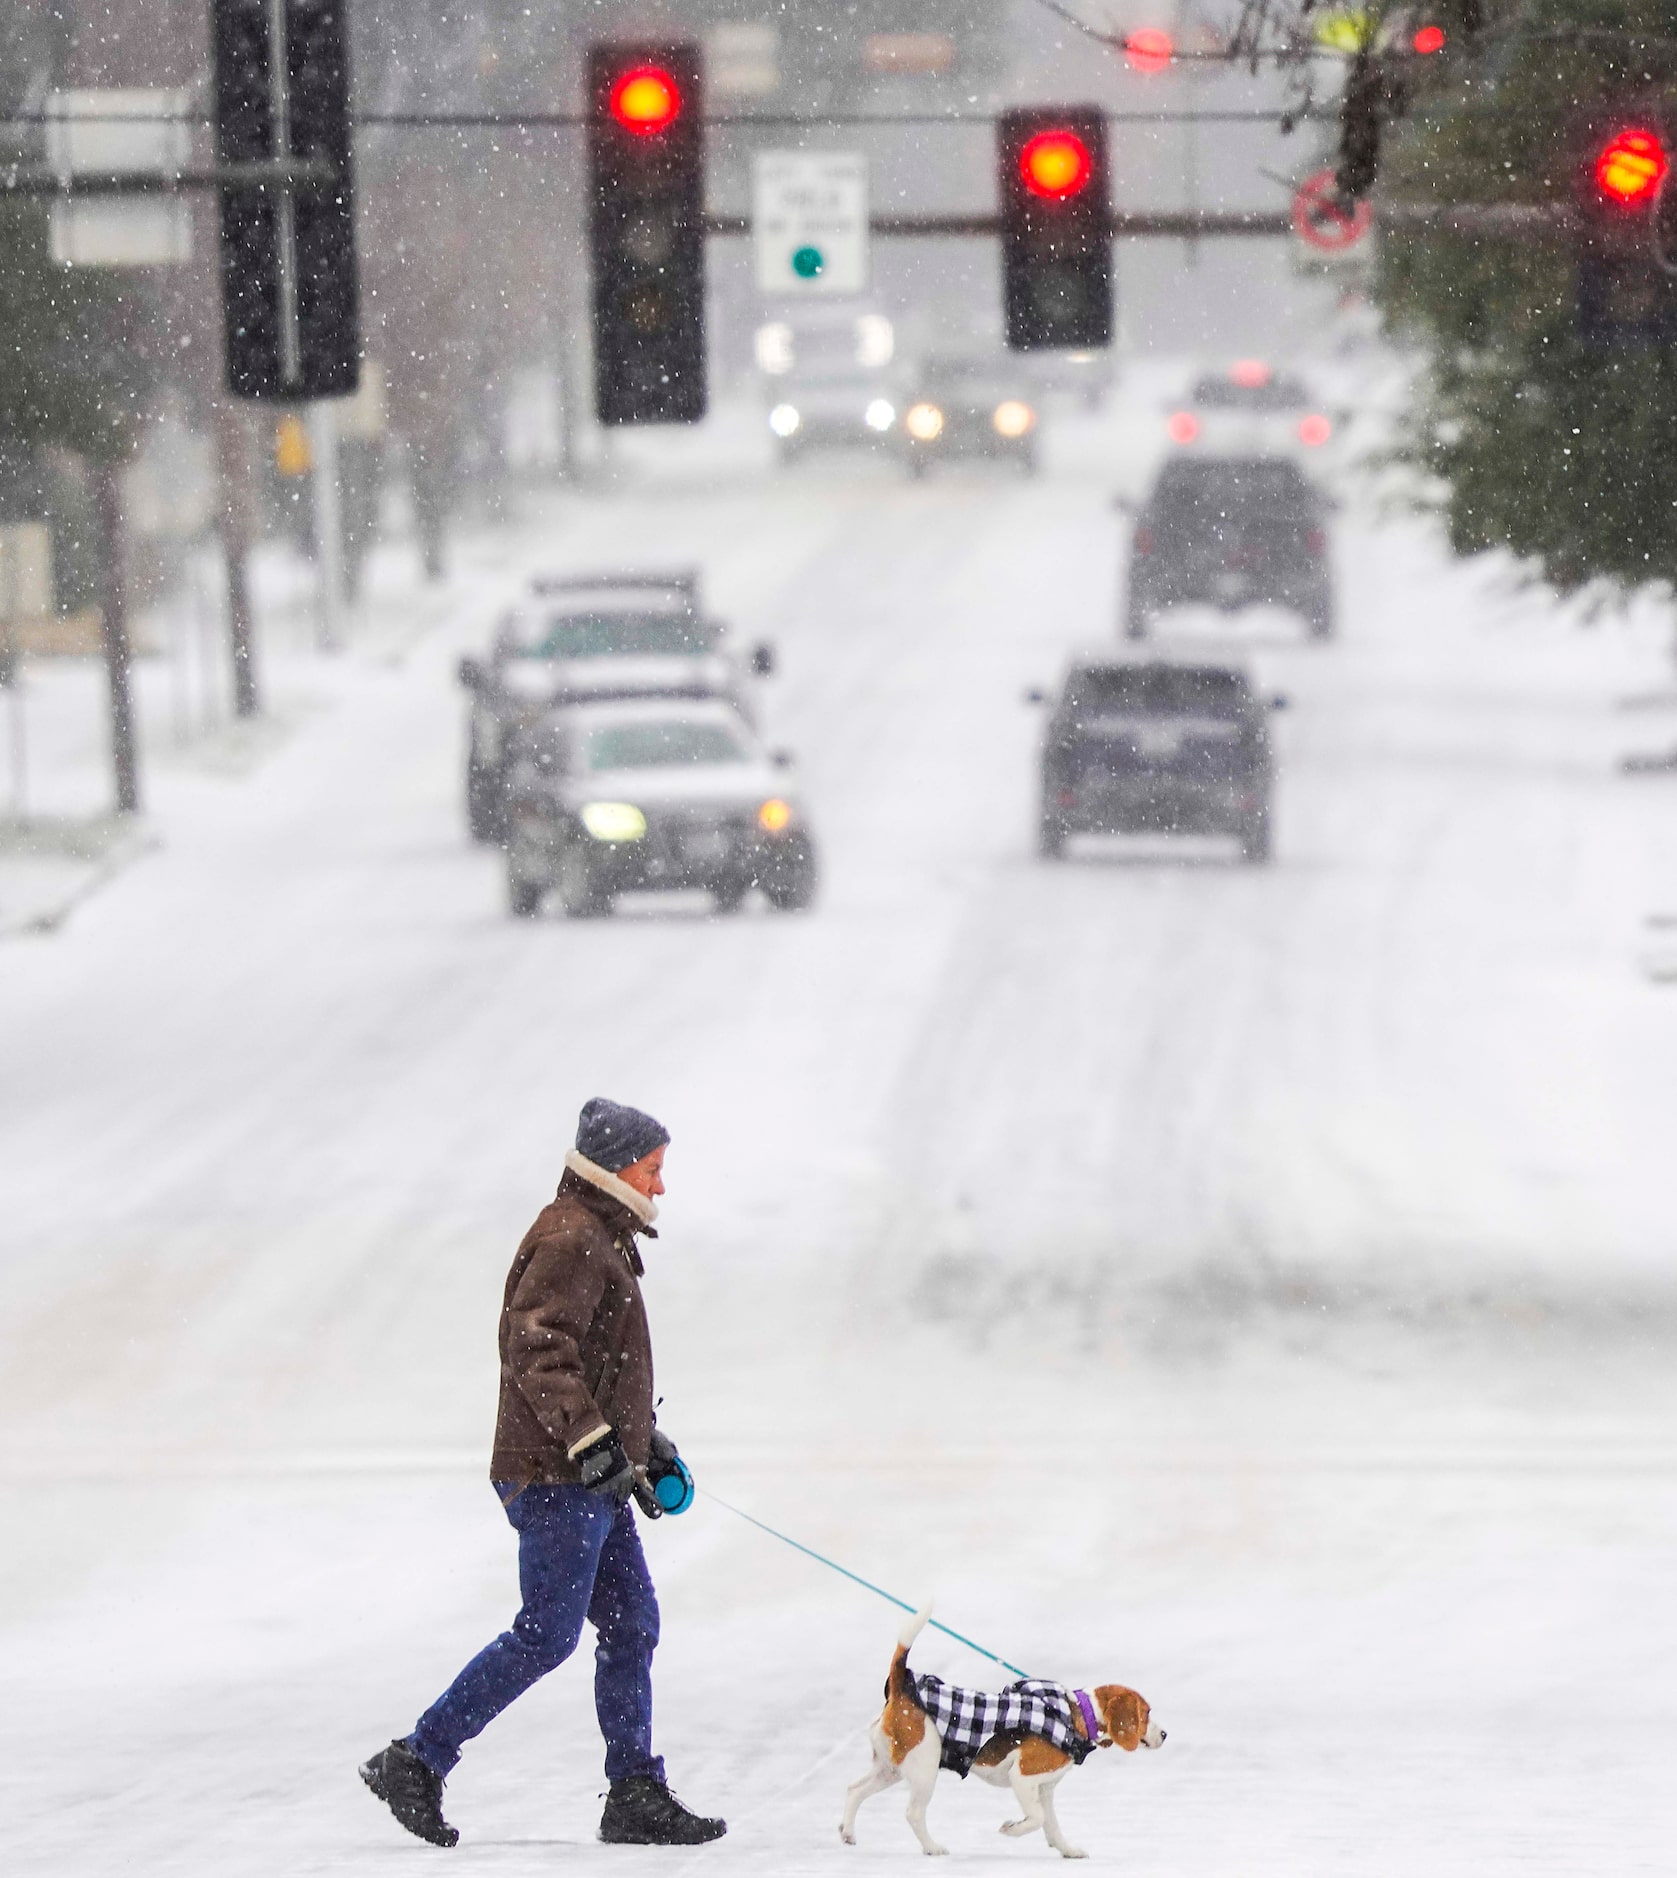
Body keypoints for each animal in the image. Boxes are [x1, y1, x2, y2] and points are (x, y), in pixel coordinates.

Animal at [837, 1607, 1164, 1855]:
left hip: (891, 1769)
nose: (1164, 1735)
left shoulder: (1044, 1789)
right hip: (924, 1770)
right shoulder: (1023, 1778)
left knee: (854, 1790)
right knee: (913, 1813)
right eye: (1146, 1712)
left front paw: (1067, 1850)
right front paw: (1011, 1829)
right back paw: (932, 1847)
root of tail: (902, 1688)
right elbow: (1036, 1819)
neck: (1078, 1714)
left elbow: (1052, 1824)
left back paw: (848, 1832)